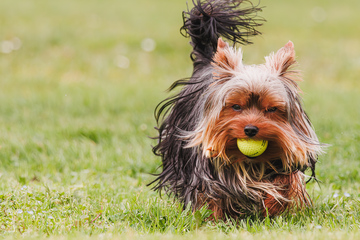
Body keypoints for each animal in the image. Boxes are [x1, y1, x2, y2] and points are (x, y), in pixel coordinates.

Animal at [149, 0, 324, 218]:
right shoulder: (207, 170)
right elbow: (211, 193)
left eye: (271, 109)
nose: (250, 130)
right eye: (236, 106)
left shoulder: (288, 154)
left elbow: (286, 179)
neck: (251, 162)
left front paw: (274, 204)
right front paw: (213, 218)